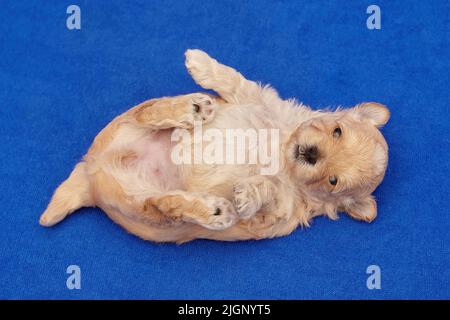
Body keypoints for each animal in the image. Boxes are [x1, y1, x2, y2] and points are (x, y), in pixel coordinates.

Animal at [39, 50, 390, 242]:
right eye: (336, 131)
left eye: (333, 181)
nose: (311, 153)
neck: (280, 149)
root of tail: (92, 169)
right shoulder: (257, 98)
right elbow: (233, 80)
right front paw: (201, 63)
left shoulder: (282, 210)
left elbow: (267, 191)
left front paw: (249, 193)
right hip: (128, 124)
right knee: (148, 114)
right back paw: (189, 109)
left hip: (140, 208)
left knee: (161, 205)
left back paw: (212, 210)